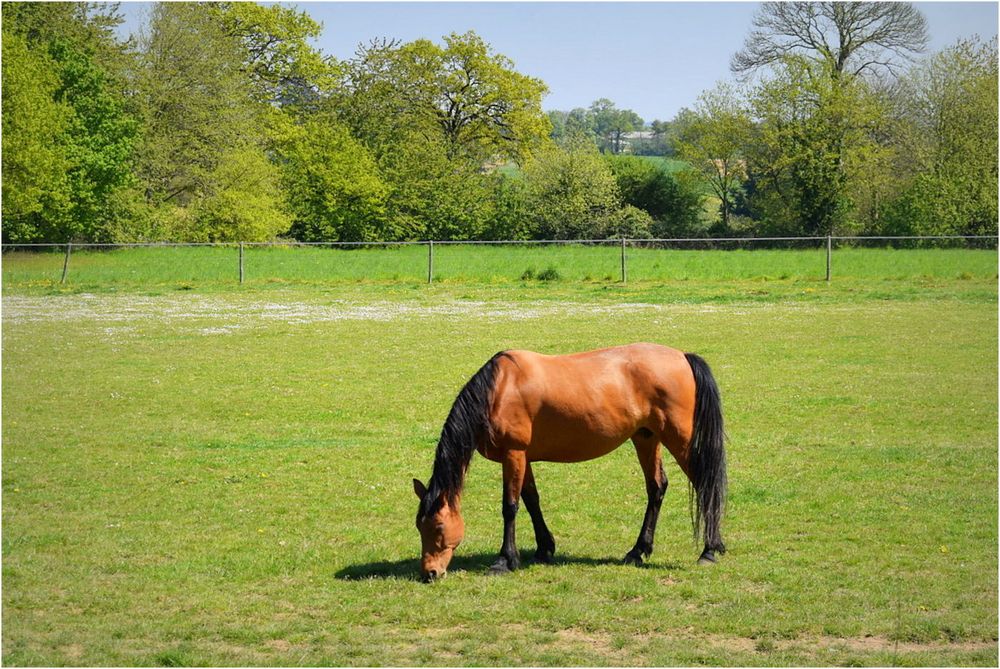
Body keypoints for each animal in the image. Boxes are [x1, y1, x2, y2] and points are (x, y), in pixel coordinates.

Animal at [410, 344, 724, 580]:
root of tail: (683, 356)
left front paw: (505, 560)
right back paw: (638, 551)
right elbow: (531, 500)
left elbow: (510, 507)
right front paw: (544, 548)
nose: (430, 573)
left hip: (678, 437)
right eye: (419, 526)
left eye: (438, 527)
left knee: (705, 483)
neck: (499, 389)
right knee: (657, 487)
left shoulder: (513, 454)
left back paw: (710, 550)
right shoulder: (523, 457)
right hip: (646, 438)